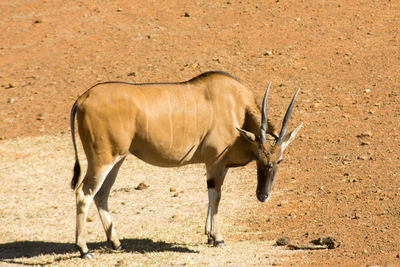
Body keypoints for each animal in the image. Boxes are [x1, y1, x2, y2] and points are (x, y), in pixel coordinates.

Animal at [70, 71, 302, 260]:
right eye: (258, 157)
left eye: (279, 160)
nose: (263, 195)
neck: (236, 107)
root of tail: (83, 98)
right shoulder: (215, 162)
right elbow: (216, 196)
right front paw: (217, 238)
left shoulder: (221, 165)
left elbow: (212, 195)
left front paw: (209, 235)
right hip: (102, 160)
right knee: (84, 193)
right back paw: (84, 249)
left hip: (117, 160)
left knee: (101, 194)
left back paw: (116, 243)